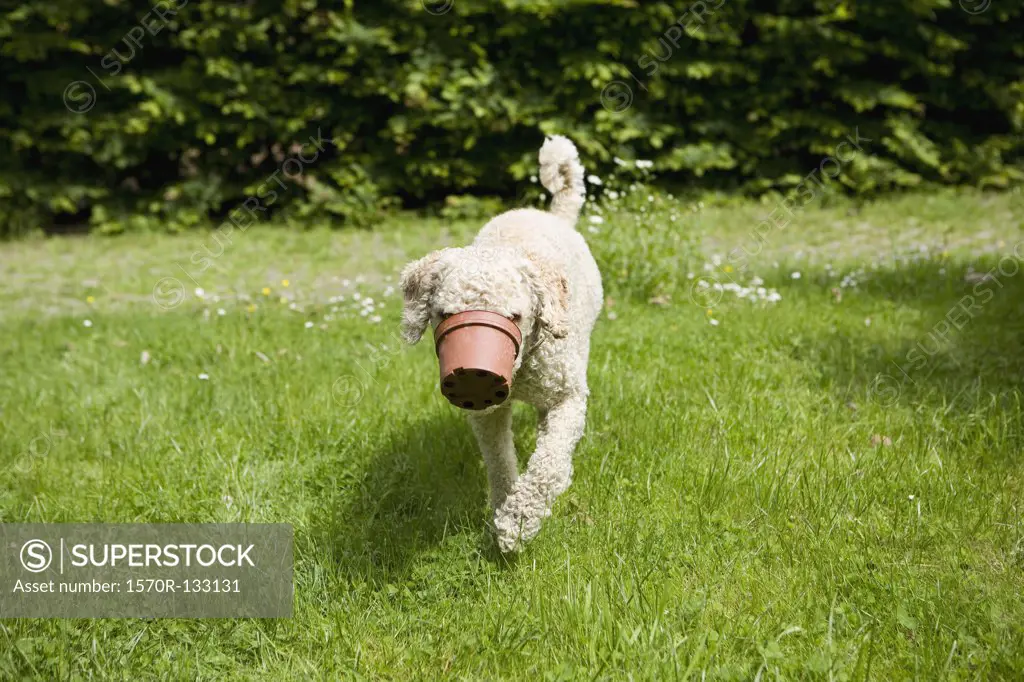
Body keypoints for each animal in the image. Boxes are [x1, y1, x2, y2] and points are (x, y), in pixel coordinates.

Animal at [399, 135, 602, 548]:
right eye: (444, 315)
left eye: (515, 316)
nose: (474, 373)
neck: (521, 368)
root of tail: (552, 215)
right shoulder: (486, 414)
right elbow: (499, 461)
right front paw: (504, 507)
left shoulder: (568, 398)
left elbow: (547, 464)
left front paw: (519, 522)